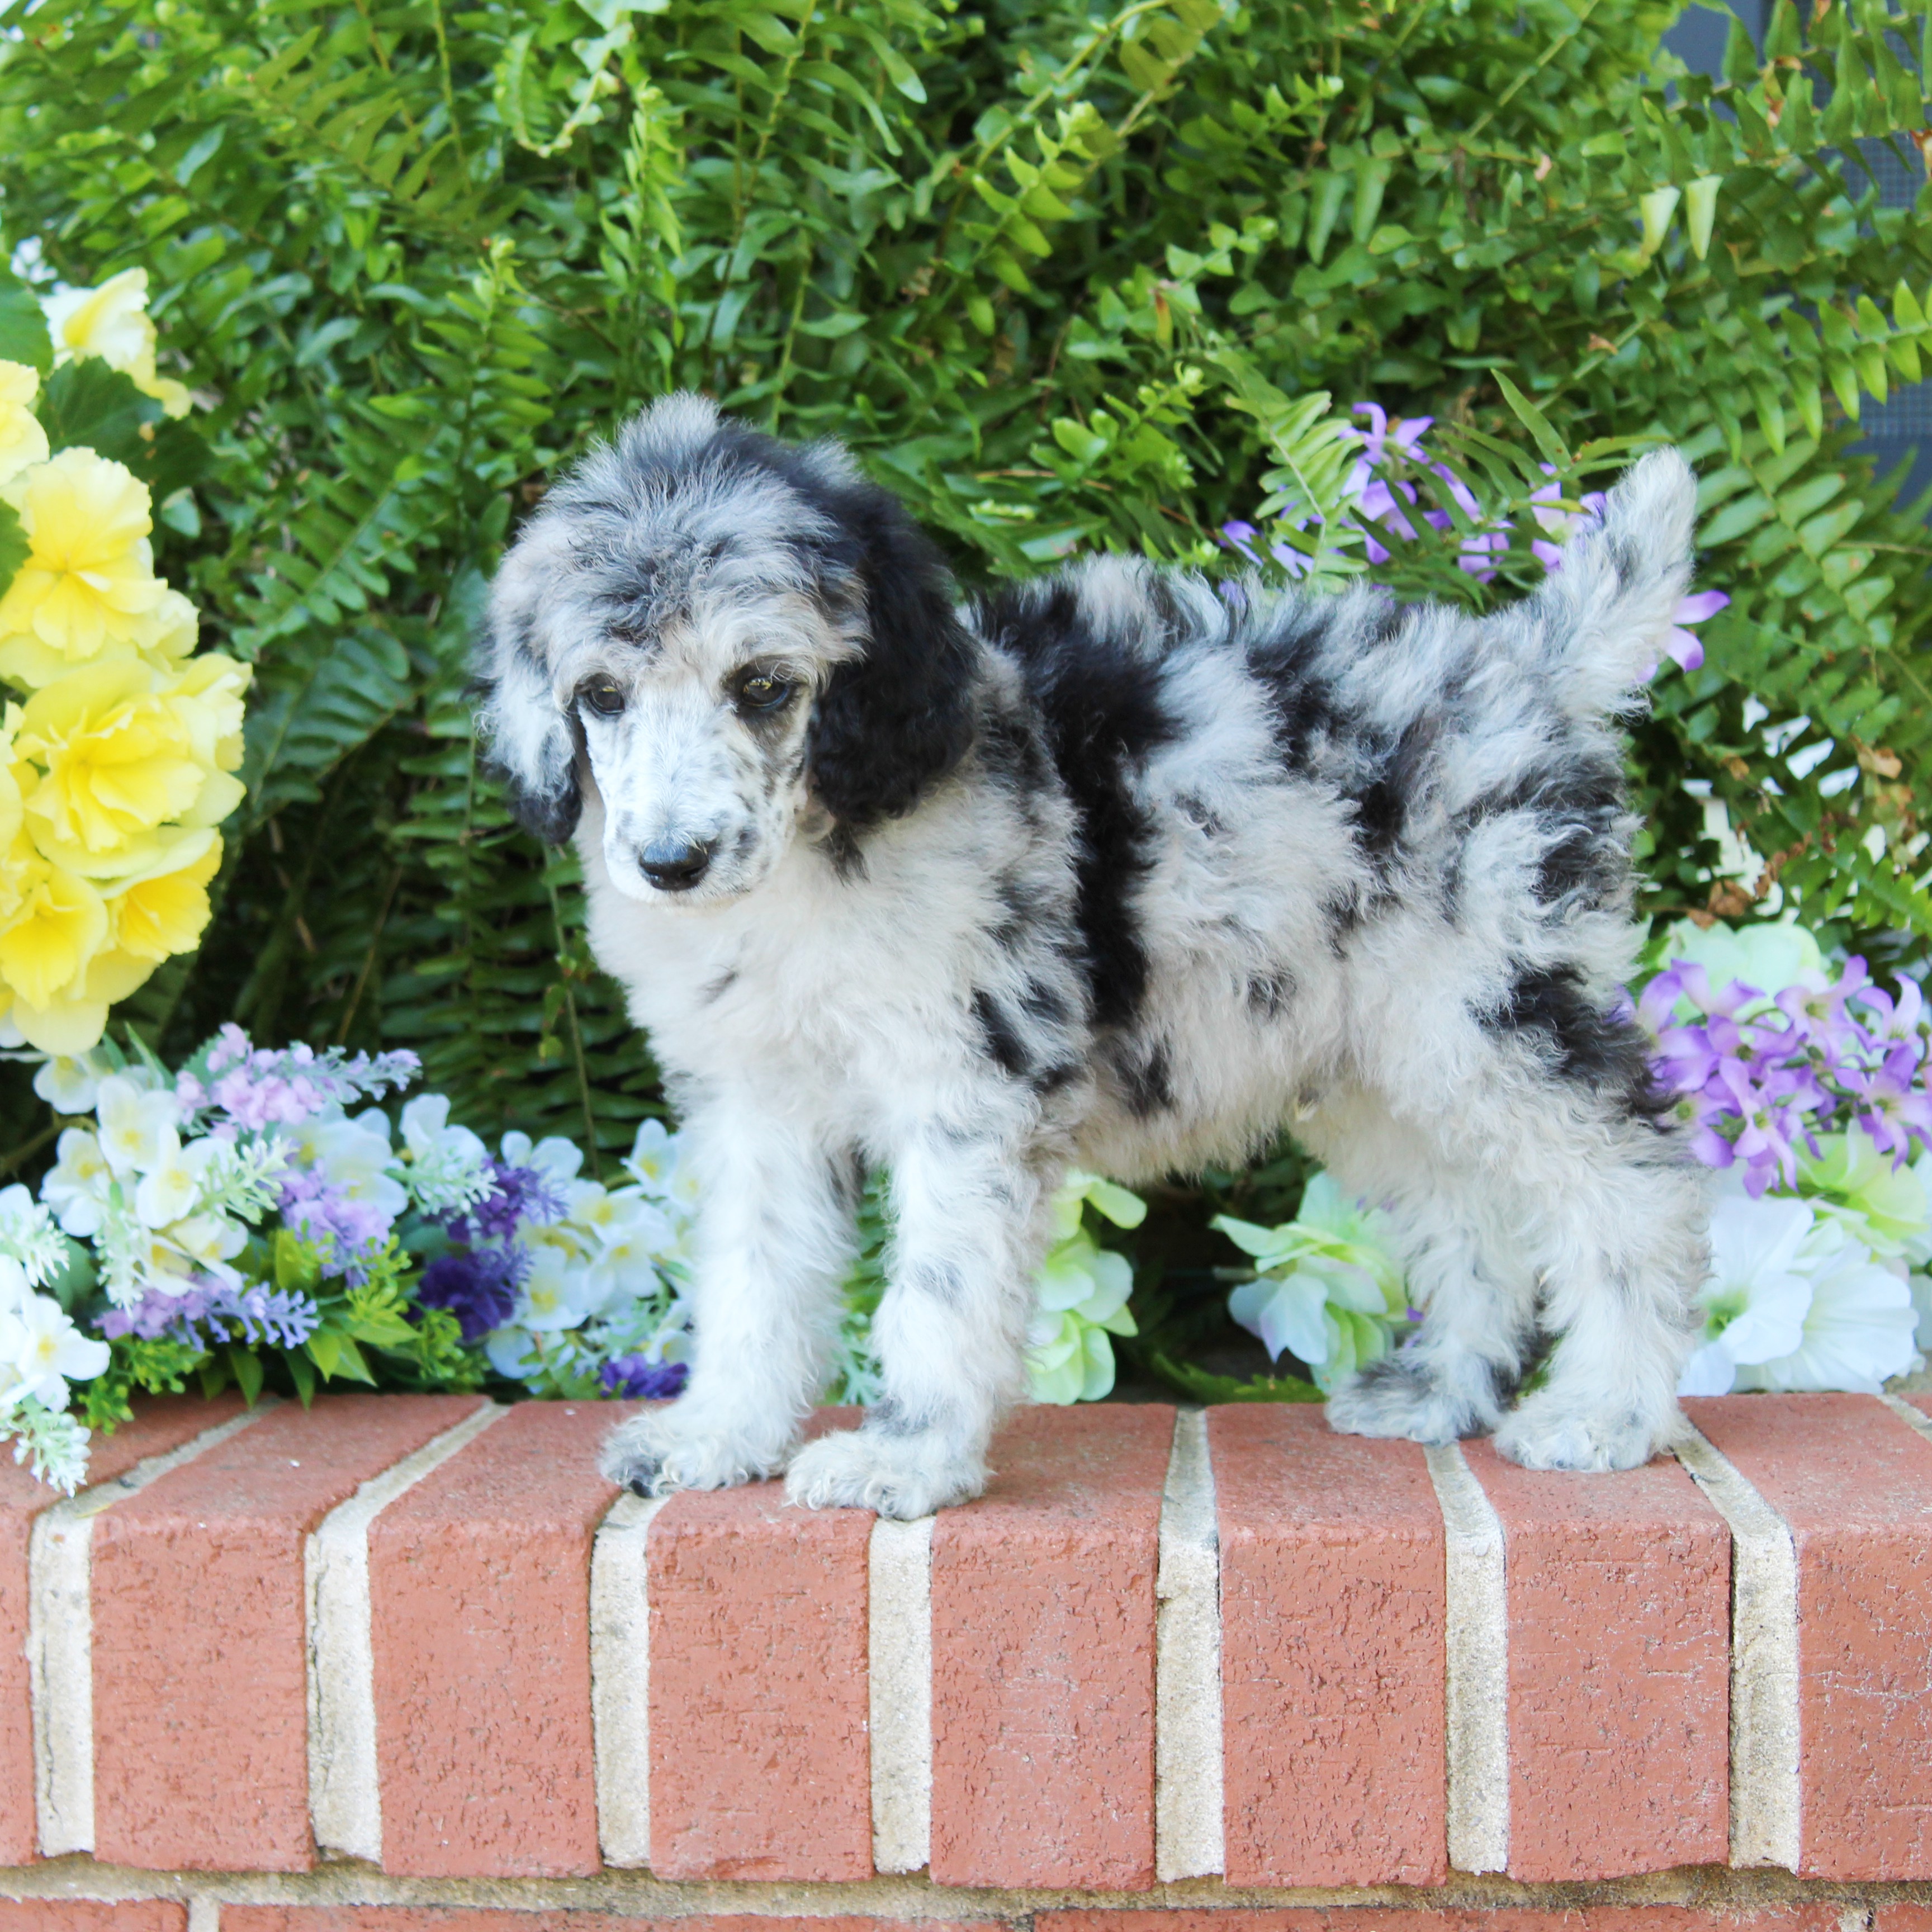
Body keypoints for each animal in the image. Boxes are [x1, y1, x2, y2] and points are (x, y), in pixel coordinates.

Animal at [479, 392, 1708, 1507]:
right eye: (600, 695)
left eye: (766, 685)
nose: (670, 862)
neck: (815, 859)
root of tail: (1525, 665)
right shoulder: (757, 1101)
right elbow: (753, 1279)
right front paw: (719, 1435)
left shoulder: (970, 1083)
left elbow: (937, 1287)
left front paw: (904, 1459)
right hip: (1381, 1059)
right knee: (1474, 1215)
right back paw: (1443, 1392)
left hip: (1490, 1008)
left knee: (1638, 1185)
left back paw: (1608, 1411)